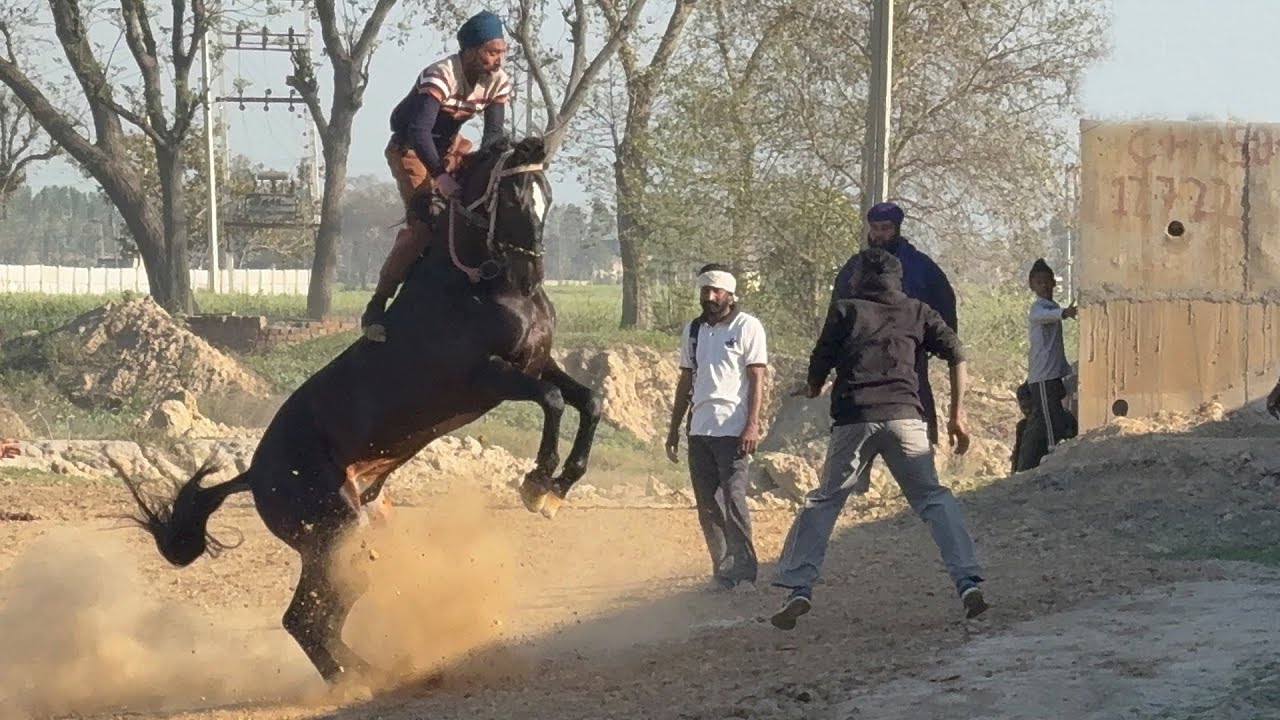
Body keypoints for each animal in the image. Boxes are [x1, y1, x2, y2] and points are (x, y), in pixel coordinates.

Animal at [118, 134, 602, 686]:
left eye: (546, 194)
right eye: (515, 197)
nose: (531, 272)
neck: (476, 286)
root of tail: (254, 476)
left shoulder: (539, 364)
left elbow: (588, 400)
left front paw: (558, 489)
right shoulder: (490, 378)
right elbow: (554, 401)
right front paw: (537, 483)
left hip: (348, 537)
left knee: (318, 618)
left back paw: (374, 672)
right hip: (334, 533)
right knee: (304, 619)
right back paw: (366, 680)